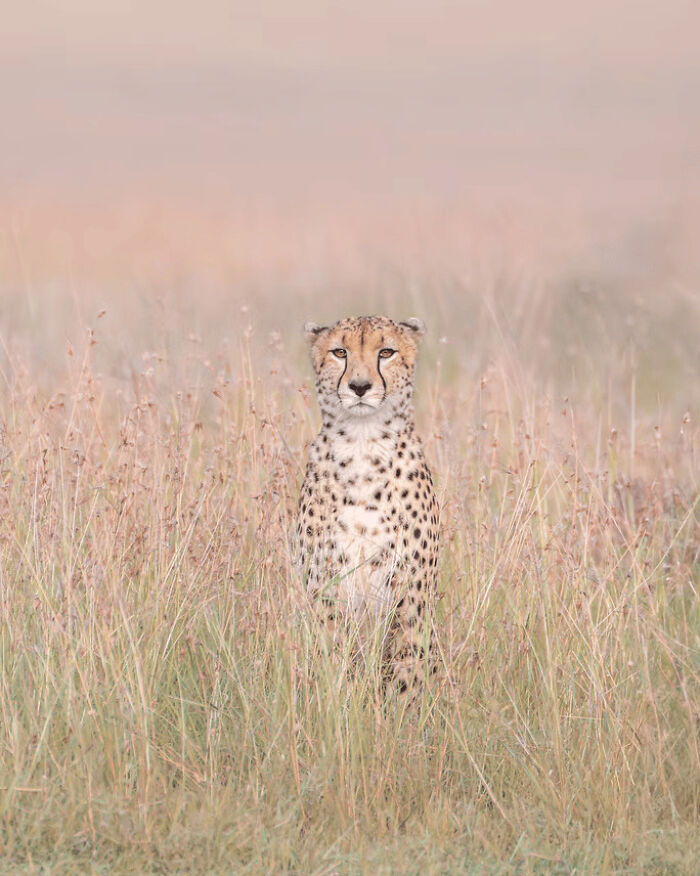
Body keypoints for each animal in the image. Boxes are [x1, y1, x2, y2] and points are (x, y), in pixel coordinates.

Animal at [296, 314, 440, 694]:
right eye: (340, 352)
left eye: (386, 352)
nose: (359, 386)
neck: (362, 443)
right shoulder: (325, 587)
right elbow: (333, 658)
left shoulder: (410, 594)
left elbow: (407, 668)